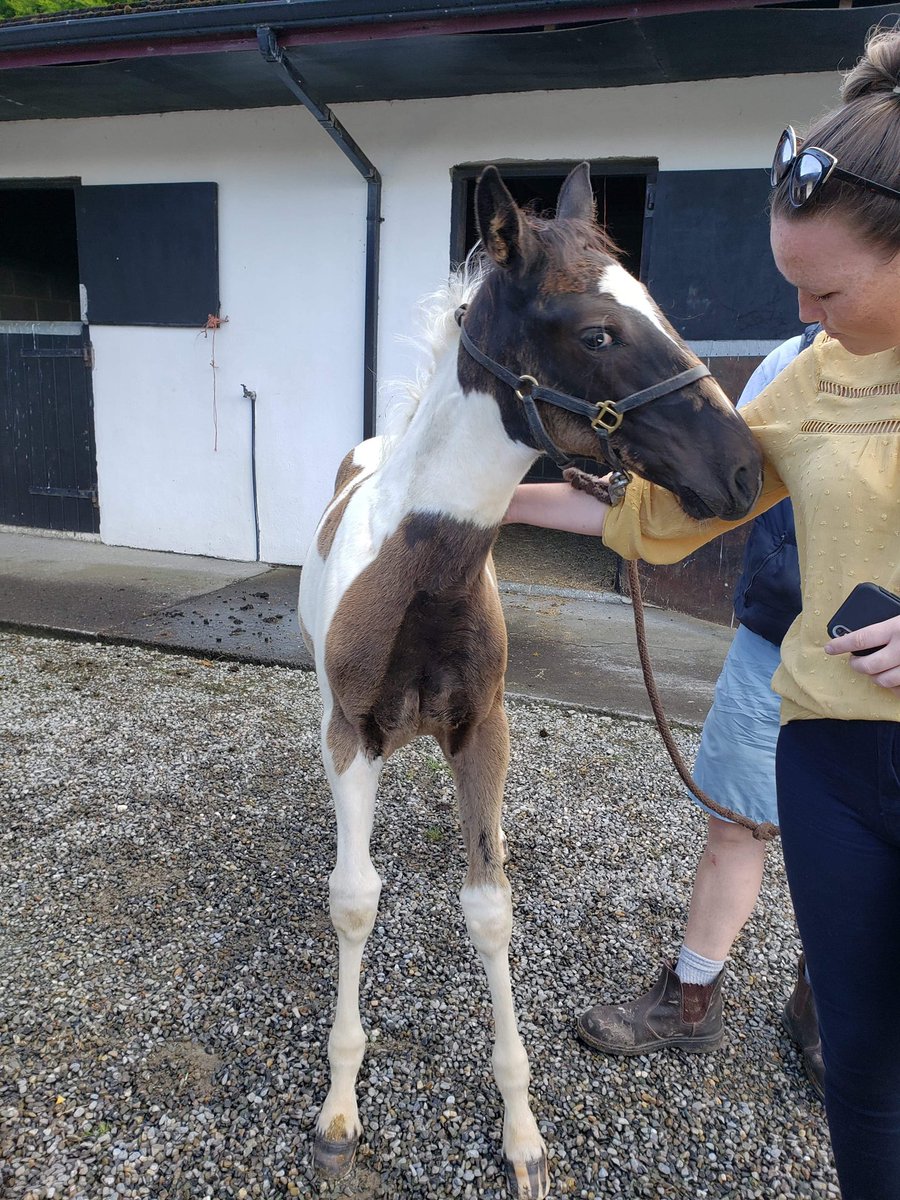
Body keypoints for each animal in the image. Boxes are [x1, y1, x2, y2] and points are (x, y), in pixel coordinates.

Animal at [298, 162, 762, 1199]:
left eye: (656, 307)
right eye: (595, 332)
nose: (745, 470)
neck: (426, 575)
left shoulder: (484, 729)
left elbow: (489, 909)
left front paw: (521, 1133)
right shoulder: (353, 729)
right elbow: (354, 898)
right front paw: (339, 1111)